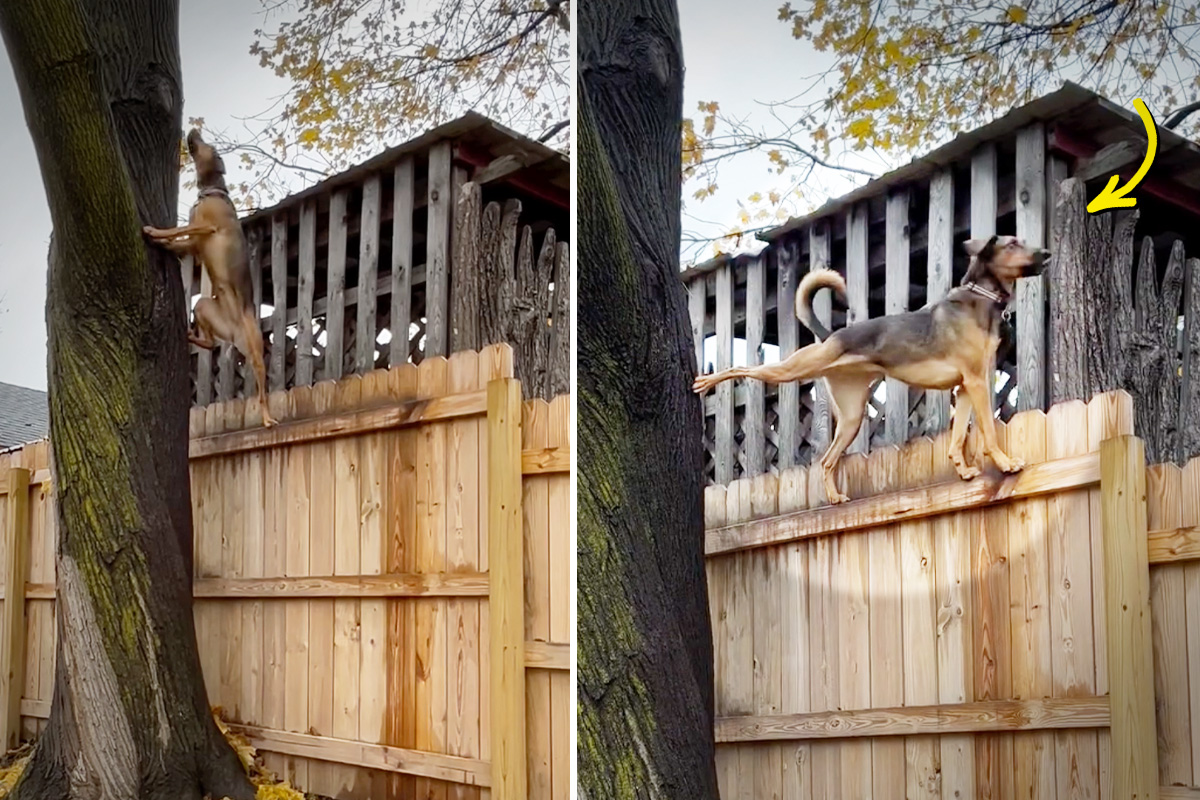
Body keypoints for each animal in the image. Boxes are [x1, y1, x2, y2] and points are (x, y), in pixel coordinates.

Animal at [142, 128, 276, 429]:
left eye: (209, 146)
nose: (193, 131)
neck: (210, 191)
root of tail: (236, 330)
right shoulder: (194, 241)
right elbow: (178, 241)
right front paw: (162, 243)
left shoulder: (204, 226)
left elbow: (177, 229)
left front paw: (155, 232)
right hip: (204, 306)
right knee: (210, 342)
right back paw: (191, 335)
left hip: (255, 352)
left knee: (263, 391)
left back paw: (267, 418)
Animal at [696, 235, 1051, 503]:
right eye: (1012, 243)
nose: (1046, 253)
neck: (981, 297)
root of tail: (830, 335)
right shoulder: (977, 382)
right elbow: (988, 431)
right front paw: (1006, 464)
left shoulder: (965, 387)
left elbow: (958, 437)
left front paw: (963, 471)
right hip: (794, 368)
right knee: (743, 367)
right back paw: (705, 381)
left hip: (852, 416)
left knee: (826, 461)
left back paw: (835, 497)